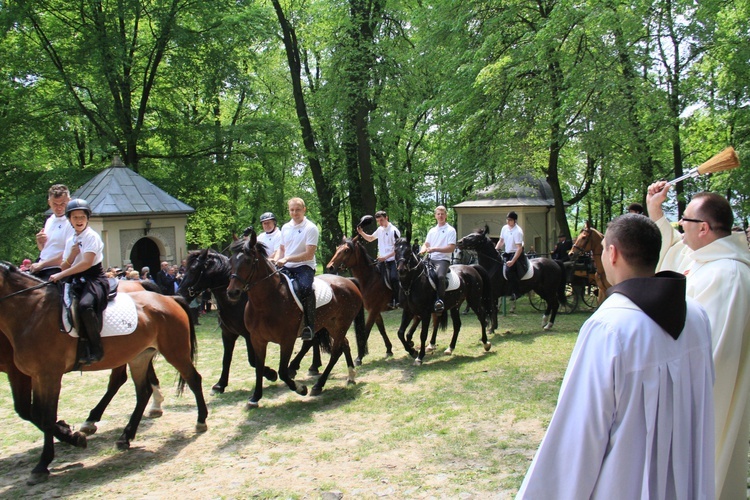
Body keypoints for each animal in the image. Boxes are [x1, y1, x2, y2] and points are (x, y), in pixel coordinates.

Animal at [0, 262, 209, 484]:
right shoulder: (36, 375)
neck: (32, 311)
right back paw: (126, 436)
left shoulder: (48, 375)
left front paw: (45, 462)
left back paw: (200, 420)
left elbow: (44, 417)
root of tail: (170, 298)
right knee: (142, 392)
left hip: (174, 352)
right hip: (139, 356)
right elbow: (35, 413)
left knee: (193, 379)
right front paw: (69, 436)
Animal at [226, 230, 368, 406]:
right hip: (331, 325)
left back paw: (318, 385)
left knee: (336, 352)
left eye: (248, 260)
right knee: (345, 345)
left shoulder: (287, 340)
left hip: (342, 324)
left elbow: (282, 371)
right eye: (231, 260)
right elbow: (259, 367)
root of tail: (349, 282)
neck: (265, 301)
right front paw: (255, 397)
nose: (232, 292)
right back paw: (350, 376)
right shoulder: (257, 339)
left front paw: (301, 388)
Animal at [394, 238, 494, 368]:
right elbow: (400, 333)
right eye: (395, 250)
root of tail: (471, 268)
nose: (401, 270)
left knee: (482, 317)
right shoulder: (408, 311)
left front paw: (419, 357)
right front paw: (412, 351)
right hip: (455, 305)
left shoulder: (425, 313)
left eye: (409, 252)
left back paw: (486, 343)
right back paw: (450, 348)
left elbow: (423, 334)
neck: (412, 284)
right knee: (457, 324)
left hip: (474, 300)